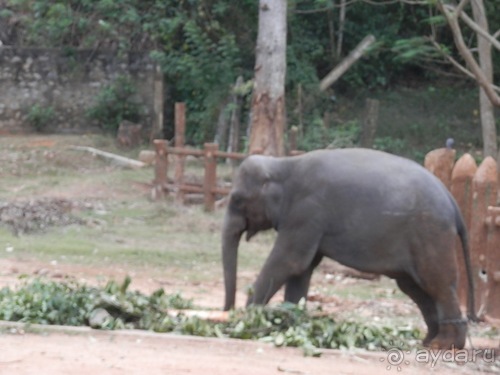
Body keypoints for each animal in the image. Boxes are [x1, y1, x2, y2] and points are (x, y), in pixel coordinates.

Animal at [223, 148, 476, 352]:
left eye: (237, 199)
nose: (227, 312)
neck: (283, 164)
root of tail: (452, 201)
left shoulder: (306, 212)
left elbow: (290, 261)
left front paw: (246, 321)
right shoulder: (308, 221)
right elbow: (302, 269)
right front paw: (290, 323)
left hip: (430, 234)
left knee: (438, 283)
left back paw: (443, 345)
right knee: (415, 287)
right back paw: (428, 341)